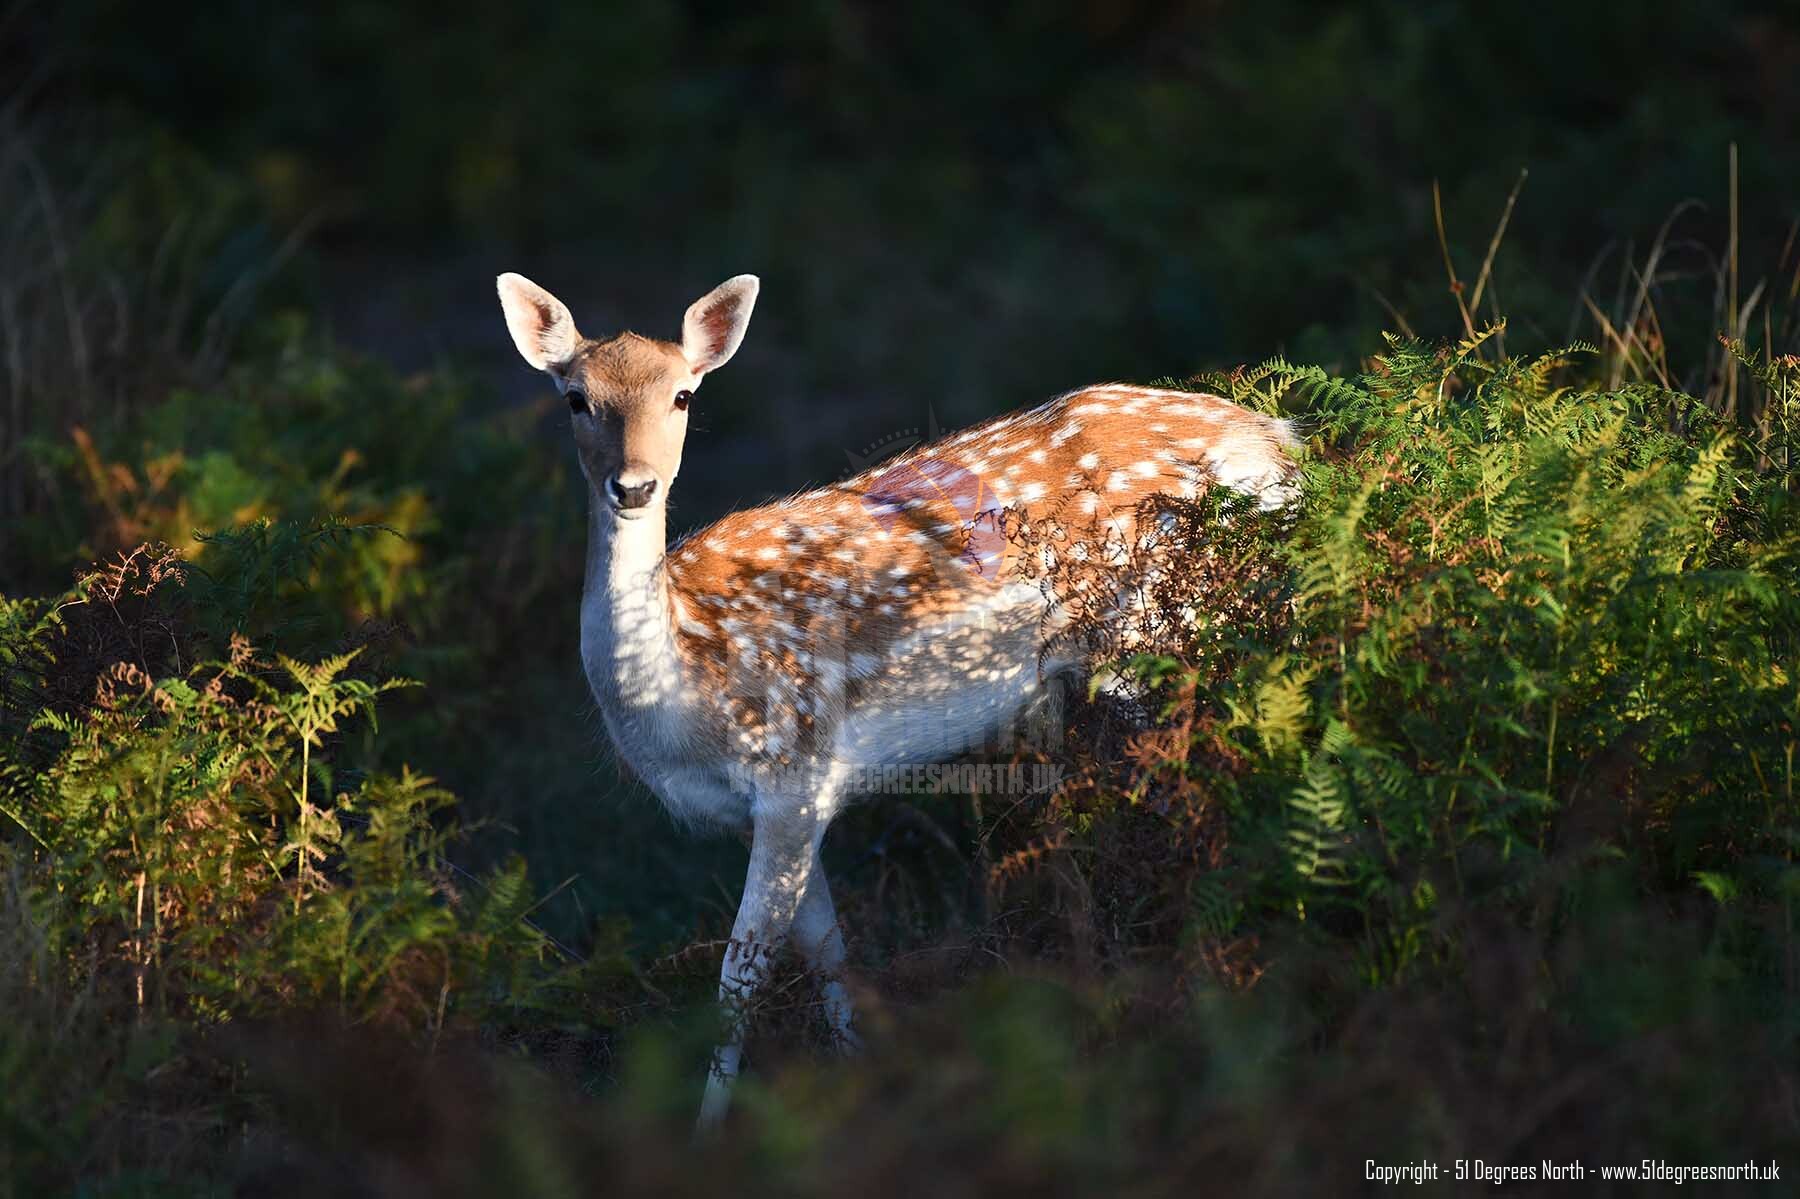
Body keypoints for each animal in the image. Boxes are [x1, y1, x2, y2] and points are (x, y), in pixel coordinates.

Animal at [495, 271, 1300, 1127]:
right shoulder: (781, 805)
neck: (685, 700)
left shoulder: (792, 769)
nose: (634, 485)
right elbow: (827, 949)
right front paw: (855, 1070)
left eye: (684, 395)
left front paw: (708, 1130)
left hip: (1177, 624)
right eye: (576, 398)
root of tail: (1280, 440)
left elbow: (740, 974)